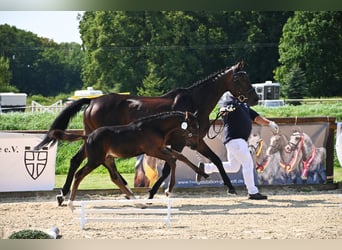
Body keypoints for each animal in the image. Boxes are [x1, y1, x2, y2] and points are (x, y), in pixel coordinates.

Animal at [48, 111, 208, 209]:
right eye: (193, 126)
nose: (195, 145)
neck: (155, 128)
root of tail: (88, 136)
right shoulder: (153, 151)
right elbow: (172, 161)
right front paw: (169, 190)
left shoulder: (161, 148)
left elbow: (180, 157)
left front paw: (202, 173)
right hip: (95, 160)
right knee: (79, 174)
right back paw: (70, 203)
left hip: (108, 159)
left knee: (115, 178)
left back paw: (138, 203)